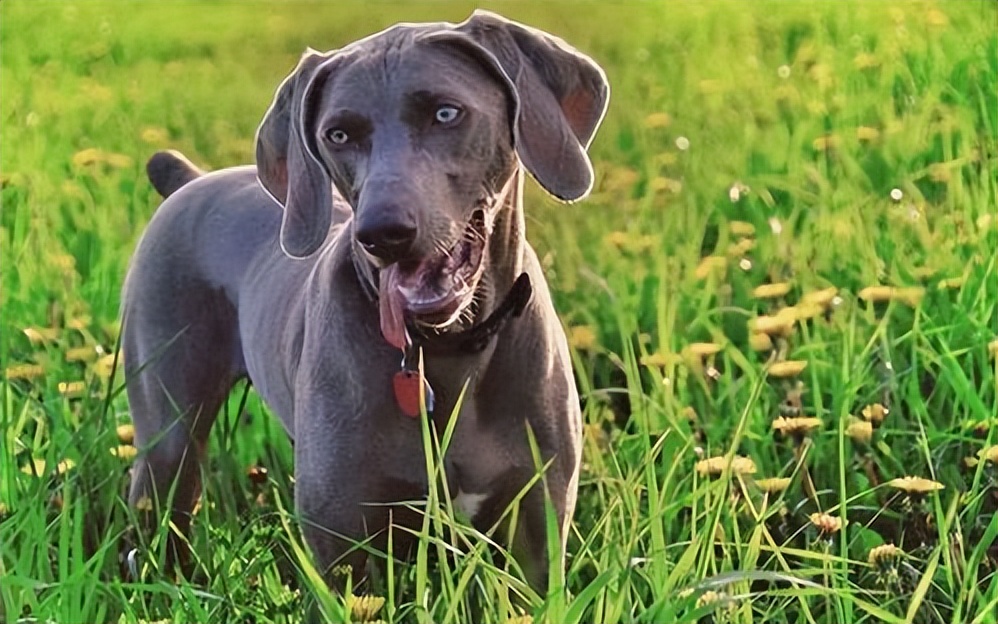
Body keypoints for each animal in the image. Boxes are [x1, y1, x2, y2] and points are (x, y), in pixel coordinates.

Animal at [123, 11, 608, 596]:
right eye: (338, 134)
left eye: (446, 113)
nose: (383, 233)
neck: (448, 351)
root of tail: (189, 182)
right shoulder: (347, 552)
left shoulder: (534, 541)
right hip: (166, 435)